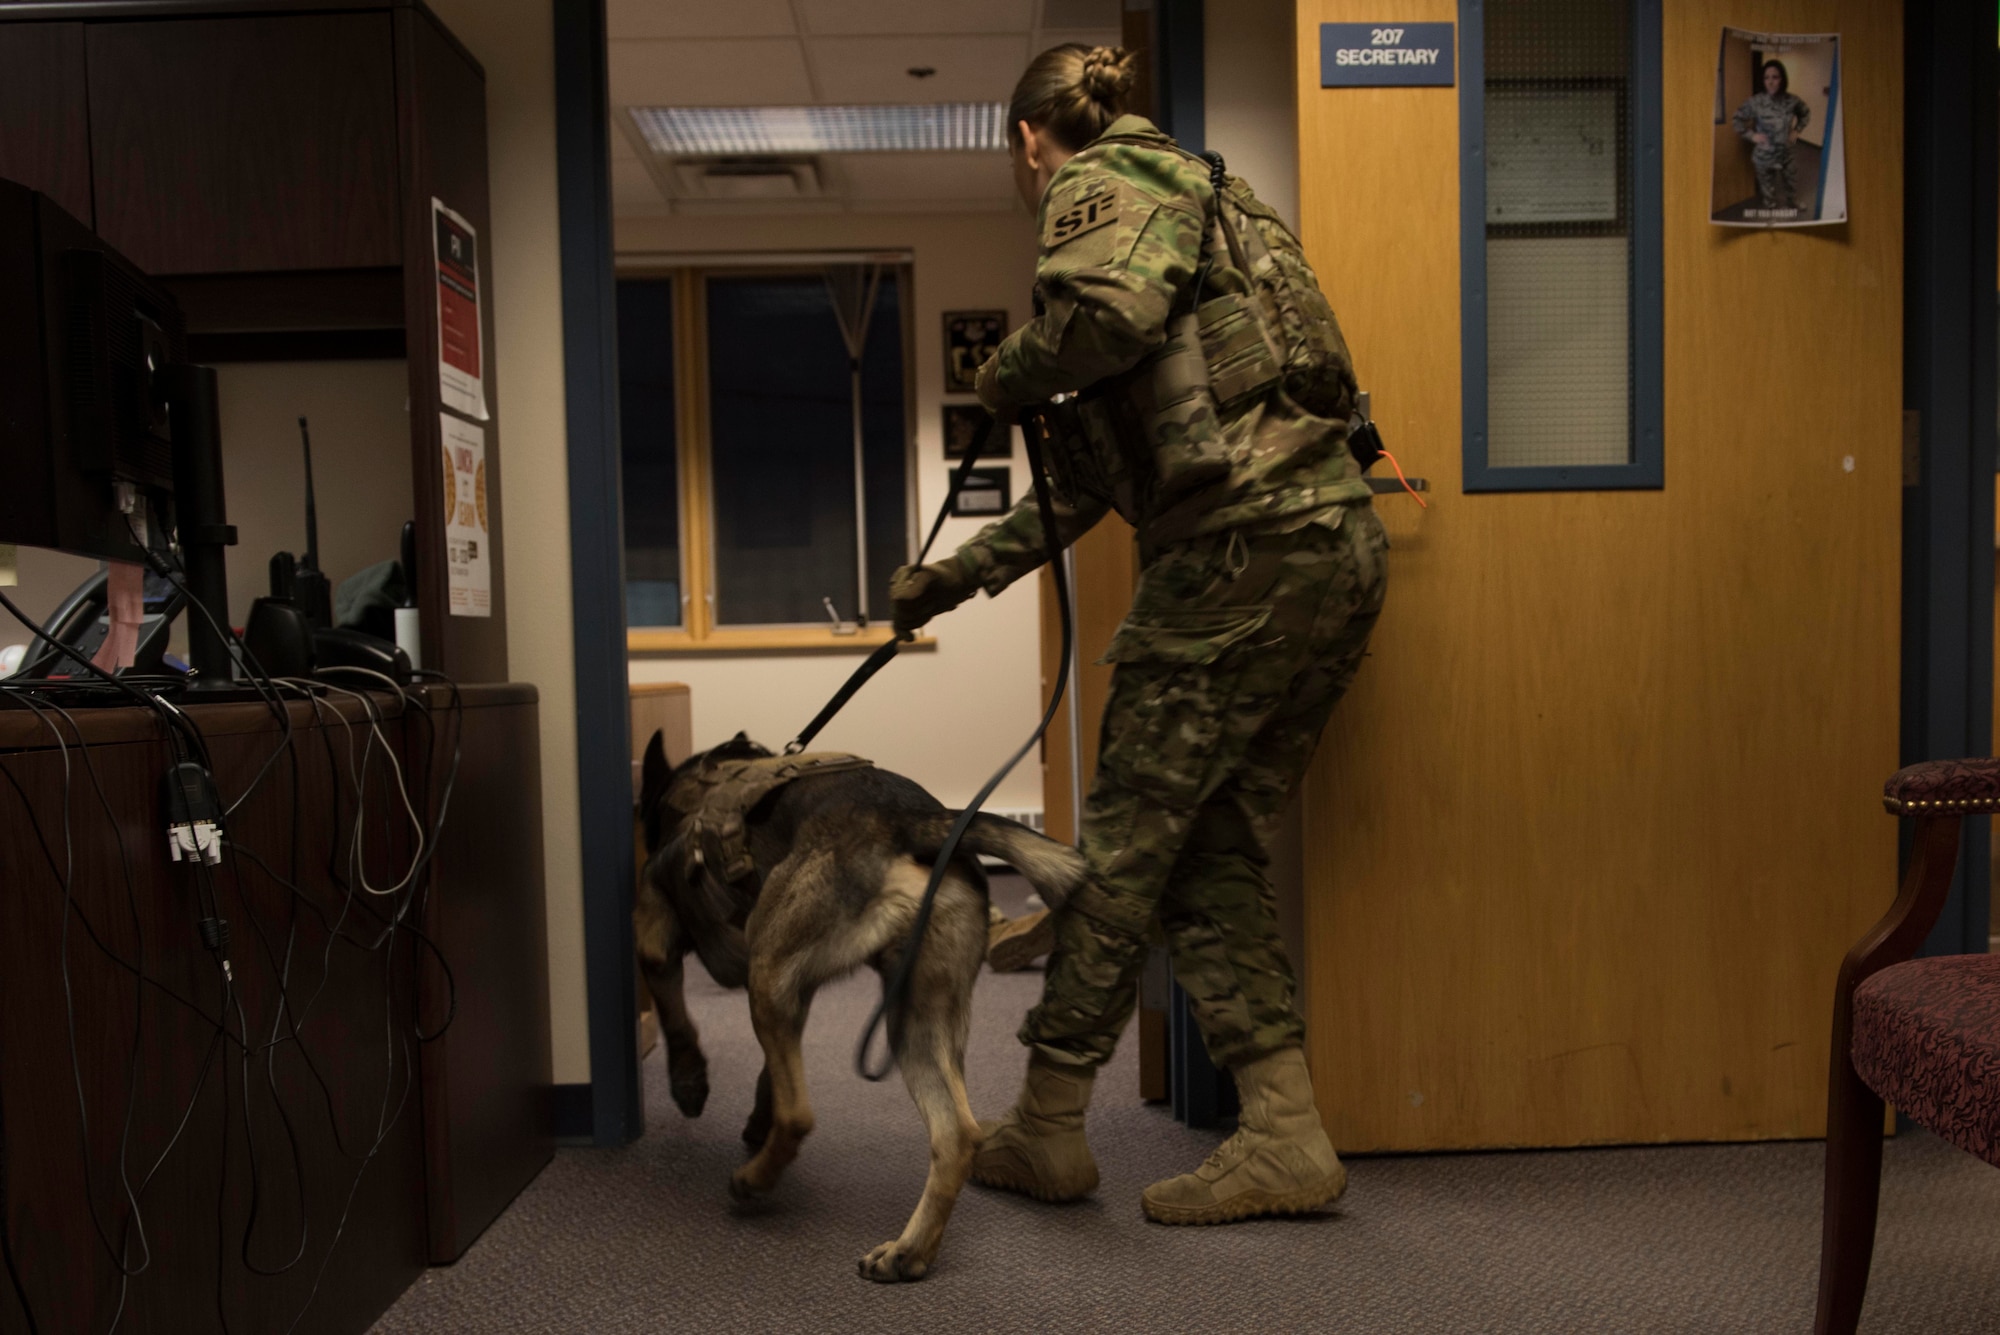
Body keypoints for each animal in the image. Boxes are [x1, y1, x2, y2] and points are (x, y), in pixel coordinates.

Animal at [632, 731, 1088, 1279]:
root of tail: (911, 821)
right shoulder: (795, 991)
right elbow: (771, 1070)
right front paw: (756, 1112)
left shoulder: (656, 923)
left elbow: (673, 1010)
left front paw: (689, 1081)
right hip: (915, 1019)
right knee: (957, 1135)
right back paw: (909, 1252)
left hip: (768, 971)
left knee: (799, 1116)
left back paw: (755, 1180)